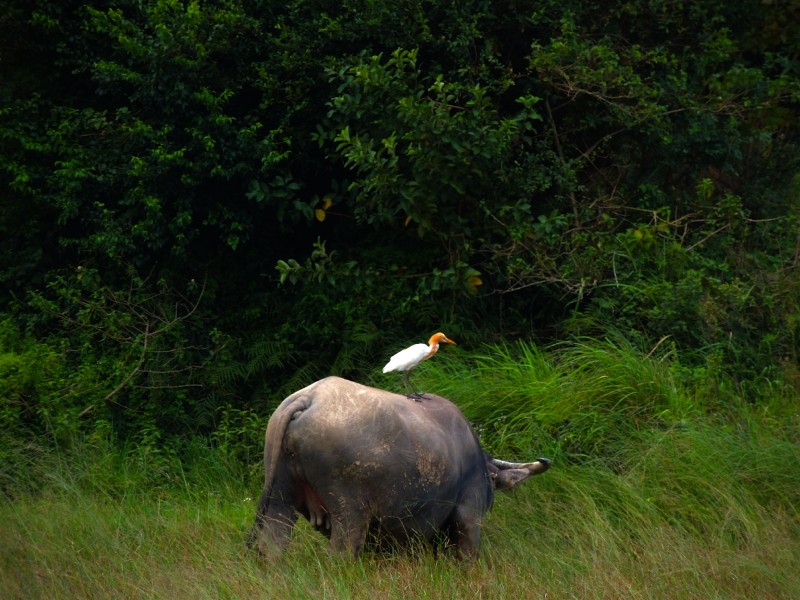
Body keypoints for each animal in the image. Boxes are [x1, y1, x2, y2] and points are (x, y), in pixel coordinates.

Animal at [250, 378, 552, 560]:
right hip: (350, 511)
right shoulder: (468, 512)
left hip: (280, 498)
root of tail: (308, 398)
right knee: (341, 551)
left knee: (272, 548)